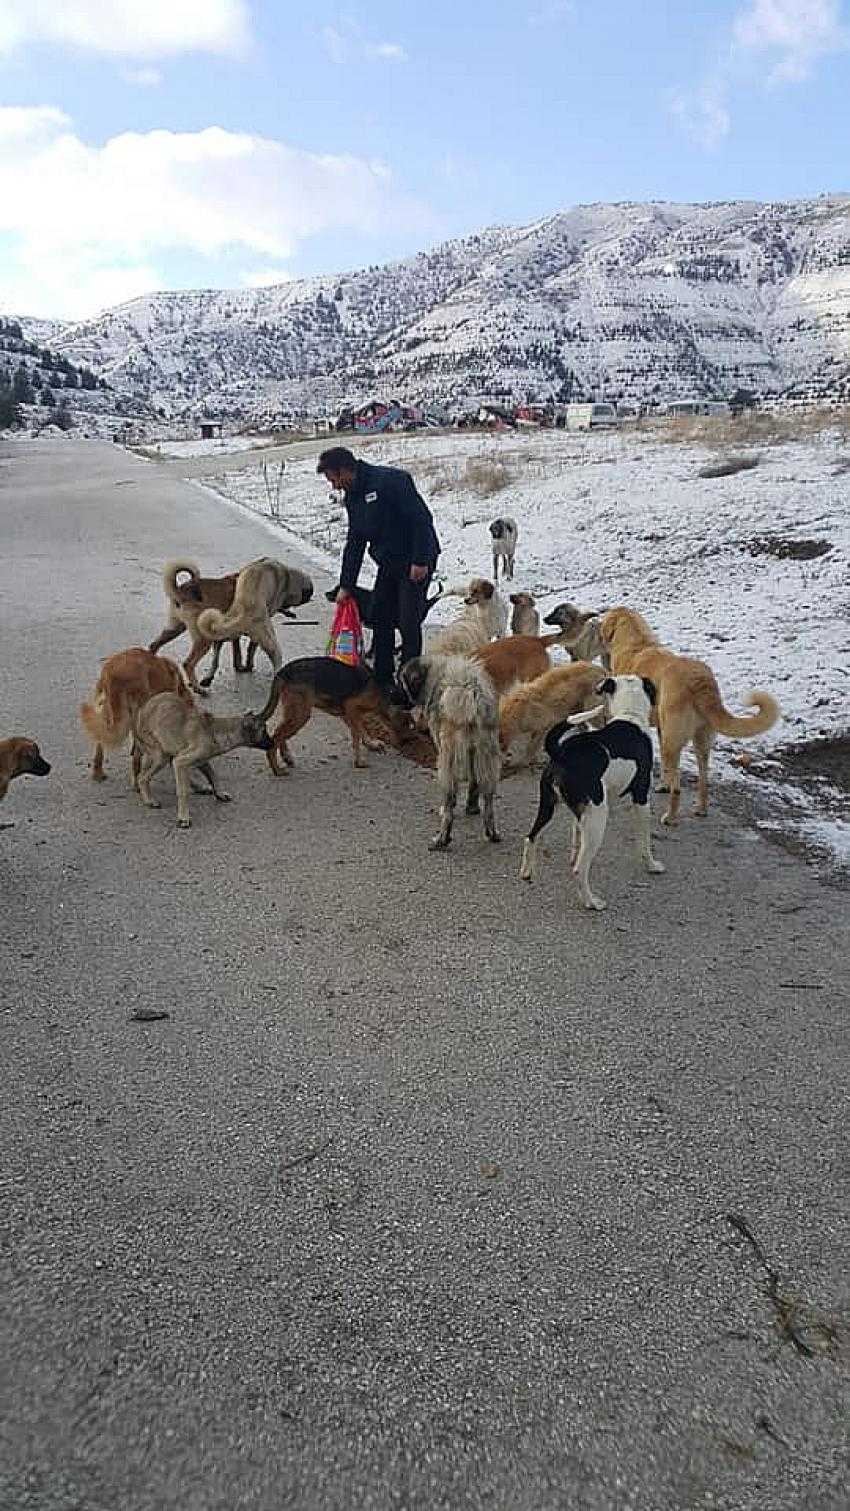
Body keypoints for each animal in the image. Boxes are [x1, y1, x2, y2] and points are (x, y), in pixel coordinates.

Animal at [80, 646, 193, 785]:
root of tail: (114, 674)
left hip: (107, 711)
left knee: (100, 741)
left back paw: (98, 772)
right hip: (137, 712)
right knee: (136, 758)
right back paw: (136, 781)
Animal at [132, 692, 273, 834]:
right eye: (264, 731)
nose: (273, 744)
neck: (214, 730)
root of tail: (141, 712)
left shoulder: (202, 761)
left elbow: (213, 776)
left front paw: (219, 793)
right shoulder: (182, 761)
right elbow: (183, 791)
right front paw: (183, 818)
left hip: (168, 752)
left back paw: (198, 787)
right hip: (161, 756)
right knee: (142, 777)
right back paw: (149, 800)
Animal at [401, 655, 501, 858]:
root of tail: (470, 692)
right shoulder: (474, 753)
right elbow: (474, 783)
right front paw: (472, 807)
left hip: (448, 757)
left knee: (449, 806)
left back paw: (442, 838)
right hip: (487, 753)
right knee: (488, 797)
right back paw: (491, 831)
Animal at [519, 673, 664, 906]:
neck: (629, 714)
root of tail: (562, 753)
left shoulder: (582, 812)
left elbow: (576, 833)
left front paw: (572, 853)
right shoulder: (641, 798)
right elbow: (645, 840)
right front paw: (652, 865)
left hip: (549, 806)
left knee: (531, 836)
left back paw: (526, 872)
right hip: (598, 818)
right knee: (580, 869)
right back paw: (591, 902)